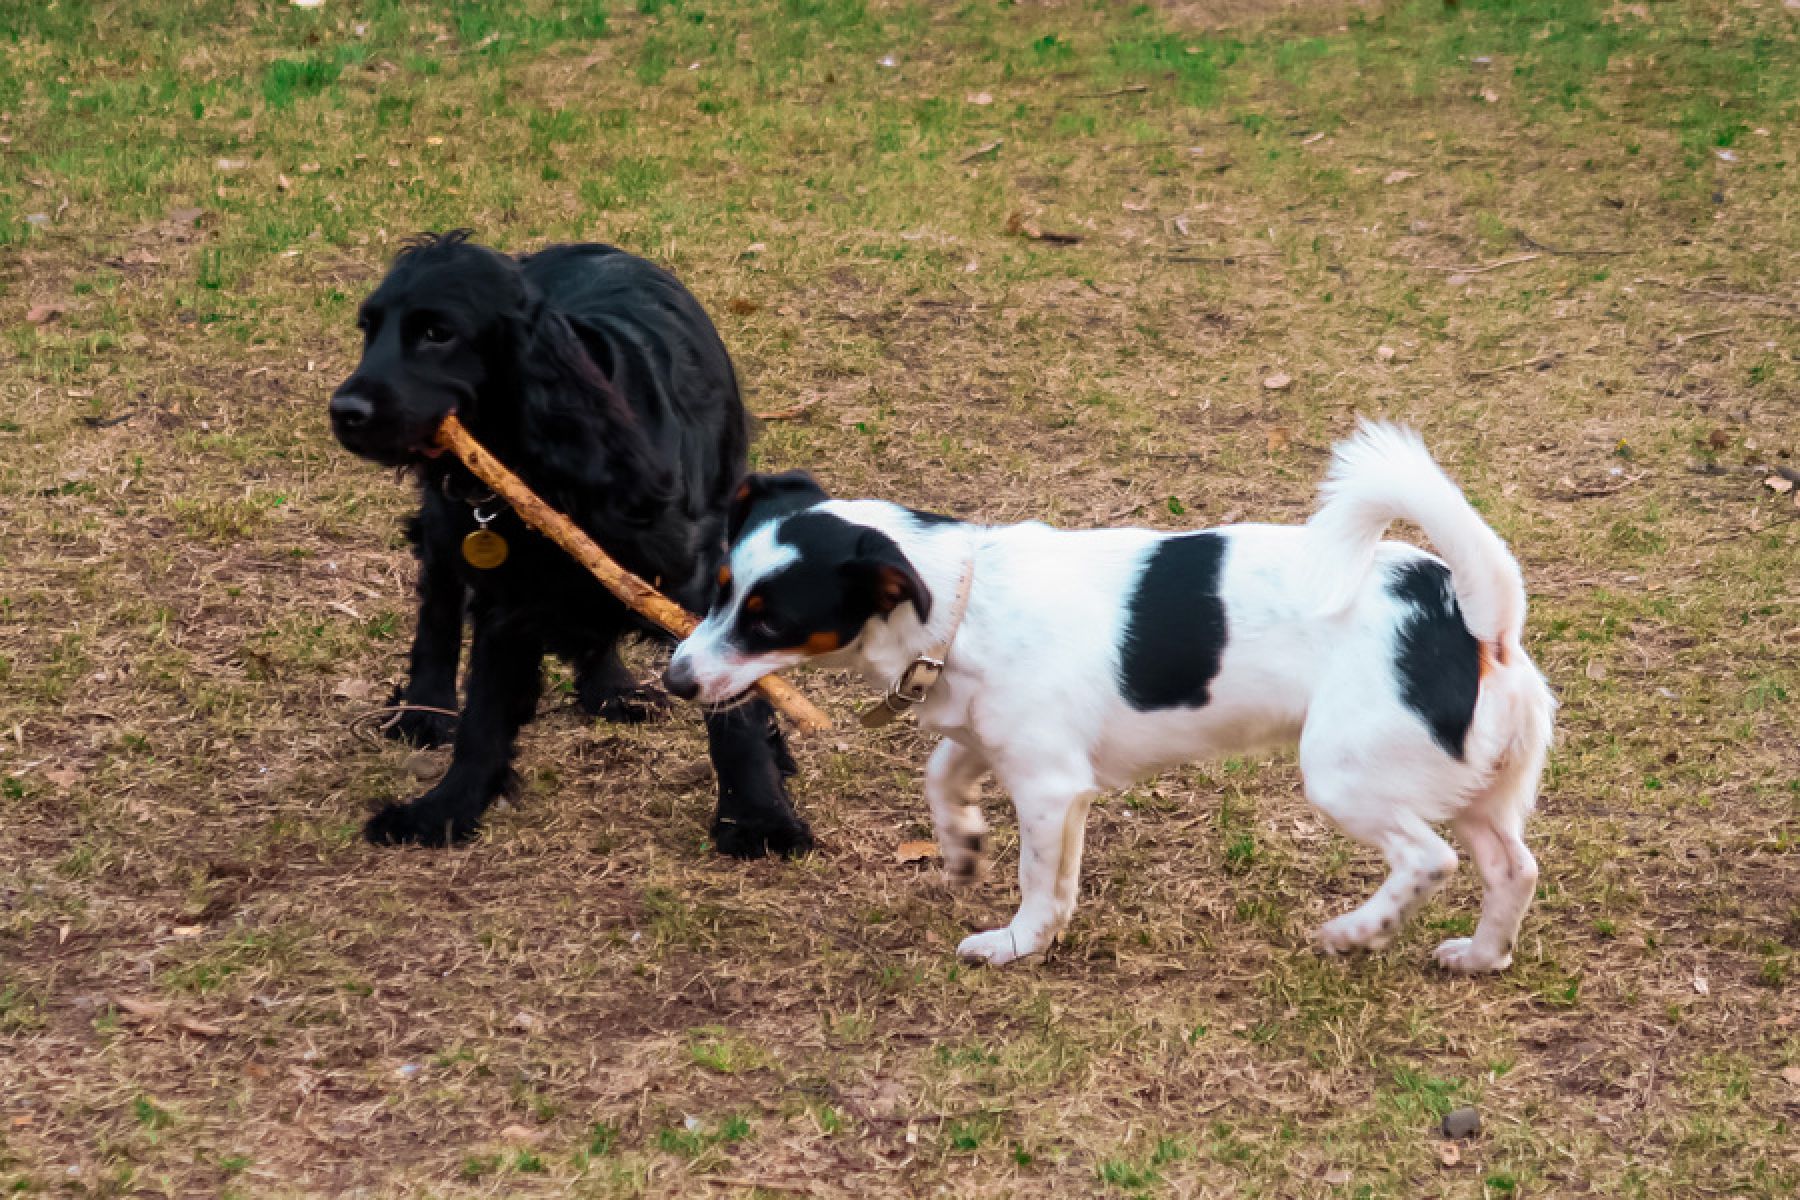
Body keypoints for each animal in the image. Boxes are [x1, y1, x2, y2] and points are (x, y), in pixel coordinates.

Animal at [331, 232, 817, 852]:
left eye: (438, 333)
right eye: (368, 330)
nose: (343, 412)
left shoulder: (700, 581)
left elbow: (736, 707)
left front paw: (759, 818)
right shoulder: (509, 596)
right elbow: (483, 715)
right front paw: (445, 809)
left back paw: (612, 689)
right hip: (447, 527)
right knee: (438, 605)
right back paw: (429, 707)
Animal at [669, 426, 1555, 971]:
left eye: (767, 619)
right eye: (718, 591)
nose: (675, 679)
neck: (964, 599)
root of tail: (1475, 619)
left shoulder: (1048, 786)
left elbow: (1036, 880)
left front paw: (1014, 944)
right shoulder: (1021, 760)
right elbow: (947, 778)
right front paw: (962, 846)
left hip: (1347, 778)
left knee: (1429, 859)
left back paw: (1356, 930)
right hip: (1475, 789)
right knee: (1514, 866)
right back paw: (1482, 956)